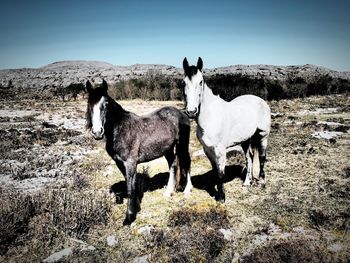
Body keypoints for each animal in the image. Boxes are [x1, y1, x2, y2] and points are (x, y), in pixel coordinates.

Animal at [86, 80, 193, 225]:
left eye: (106, 104)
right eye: (89, 103)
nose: (97, 132)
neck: (120, 129)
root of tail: (182, 113)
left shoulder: (130, 163)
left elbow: (130, 189)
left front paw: (129, 217)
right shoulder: (120, 163)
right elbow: (131, 184)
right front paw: (135, 206)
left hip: (182, 145)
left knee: (186, 162)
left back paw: (187, 190)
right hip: (168, 149)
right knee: (173, 164)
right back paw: (168, 192)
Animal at [183, 57, 270, 202]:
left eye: (201, 81)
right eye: (184, 82)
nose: (191, 111)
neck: (210, 117)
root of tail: (260, 100)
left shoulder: (220, 150)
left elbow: (220, 173)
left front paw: (221, 198)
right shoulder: (208, 150)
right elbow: (215, 171)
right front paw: (218, 194)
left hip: (263, 136)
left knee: (262, 158)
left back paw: (261, 183)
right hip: (245, 140)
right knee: (249, 157)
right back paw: (247, 182)